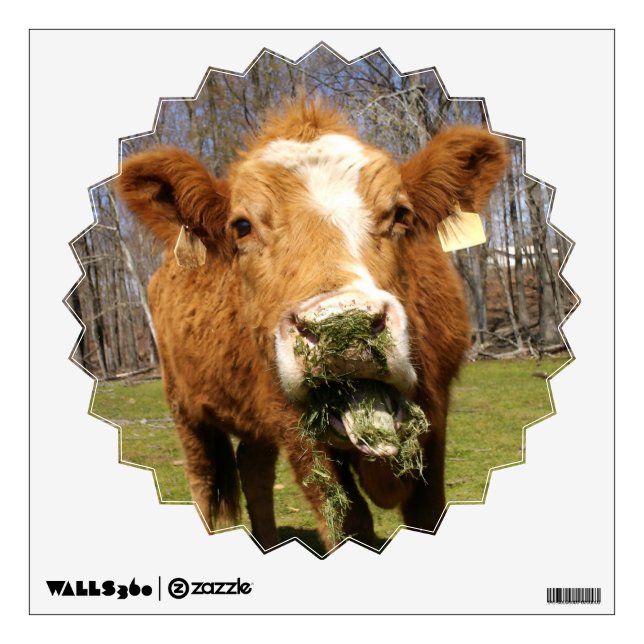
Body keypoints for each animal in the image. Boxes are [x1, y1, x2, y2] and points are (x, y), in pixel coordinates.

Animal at [116, 99, 508, 551]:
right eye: (242, 226)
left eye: (401, 214)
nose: (345, 326)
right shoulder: (294, 426)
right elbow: (347, 519)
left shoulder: (437, 411)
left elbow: (426, 513)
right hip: (184, 405)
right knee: (203, 478)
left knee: (254, 468)